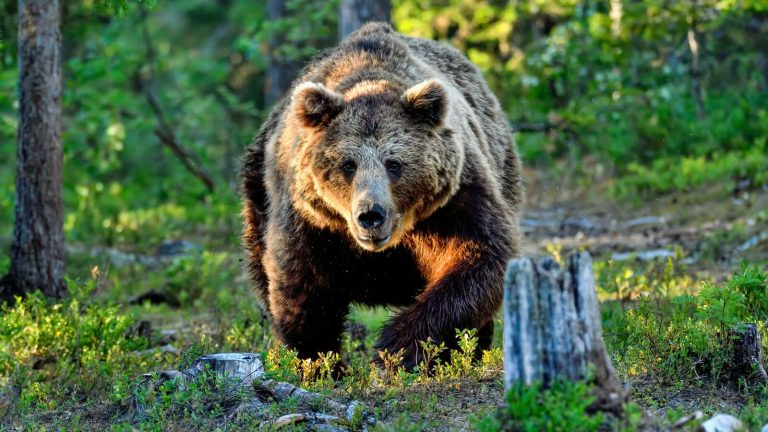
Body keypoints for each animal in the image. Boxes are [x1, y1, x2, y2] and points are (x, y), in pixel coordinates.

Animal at [241, 23, 521, 369]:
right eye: (347, 164)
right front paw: (319, 362)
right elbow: (301, 281)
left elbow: (479, 258)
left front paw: (396, 348)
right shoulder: (310, 217)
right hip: (257, 193)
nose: (370, 214)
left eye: (394, 163)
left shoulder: (453, 203)